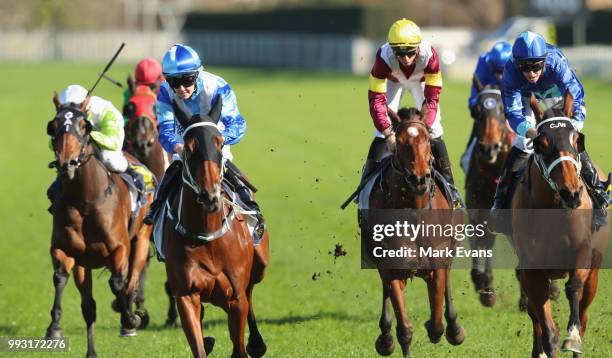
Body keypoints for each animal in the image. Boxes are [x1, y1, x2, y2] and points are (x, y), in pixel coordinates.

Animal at [44, 93, 152, 356]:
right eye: (53, 126)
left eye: (84, 126)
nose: (67, 163)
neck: (85, 200)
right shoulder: (65, 250)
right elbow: (60, 277)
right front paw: (54, 328)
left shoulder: (119, 249)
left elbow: (118, 283)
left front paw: (130, 319)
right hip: (85, 265)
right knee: (89, 306)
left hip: (141, 239)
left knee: (132, 280)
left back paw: (131, 318)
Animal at [161, 96, 268, 356]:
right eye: (189, 147)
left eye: (219, 143)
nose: (211, 196)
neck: (206, 233)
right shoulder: (186, 295)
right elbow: (197, 344)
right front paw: (205, 342)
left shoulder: (235, 298)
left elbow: (239, 346)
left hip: (260, 264)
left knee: (251, 289)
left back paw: (257, 342)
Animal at [364, 108, 464, 358]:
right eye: (399, 142)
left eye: (427, 140)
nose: (419, 178)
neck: (414, 212)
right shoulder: (392, 268)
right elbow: (404, 330)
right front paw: (392, 336)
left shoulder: (437, 263)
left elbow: (437, 322)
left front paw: (443, 327)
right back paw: (385, 337)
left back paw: (455, 327)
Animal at [512, 93, 608, 358]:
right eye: (542, 144)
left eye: (576, 139)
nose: (572, 193)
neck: (554, 207)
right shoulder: (532, 268)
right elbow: (545, 327)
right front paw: (548, 345)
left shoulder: (583, 252)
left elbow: (573, 287)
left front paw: (572, 337)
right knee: (536, 317)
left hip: (595, 269)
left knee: (584, 314)